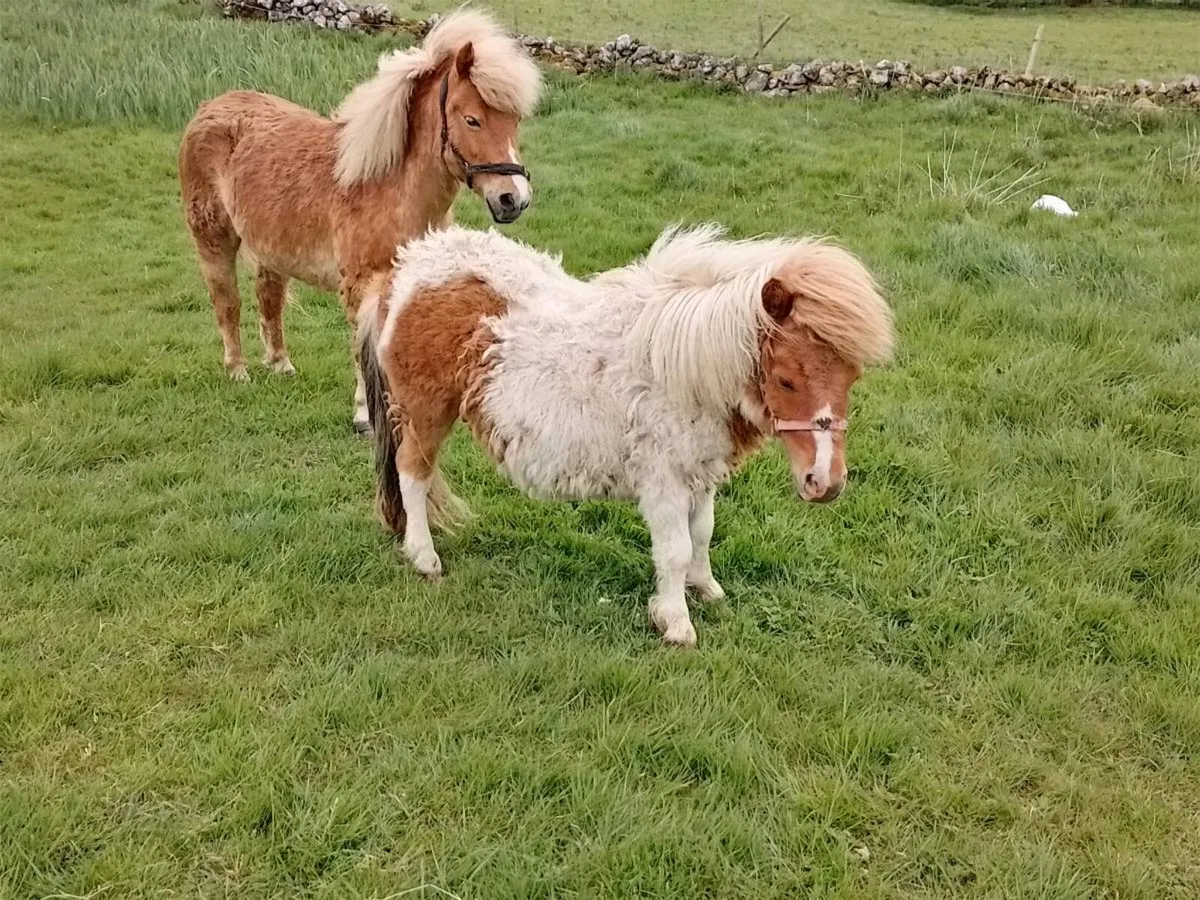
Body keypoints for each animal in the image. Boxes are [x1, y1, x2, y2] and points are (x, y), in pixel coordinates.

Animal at [178, 9, 542, 433]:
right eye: (472, 120)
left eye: (514, 121)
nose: (513, 199)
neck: (385, 188)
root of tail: (209, 108)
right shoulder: (359, 285)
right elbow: (361, 349)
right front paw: (364, 414)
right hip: (213, 236)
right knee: (227, 303)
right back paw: (238, 370)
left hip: (270, 249)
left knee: (269, 300)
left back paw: (281, 364)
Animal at [356, 224, 896, 647]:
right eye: (786, 381)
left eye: (851, 378)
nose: (825, 482)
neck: (682, 368)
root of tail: (404, 269)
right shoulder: (664, 480)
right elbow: (674, 550)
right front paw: (675, 622)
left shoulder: (699, 472)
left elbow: (702, 534)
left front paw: (707, 590)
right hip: (426, 413)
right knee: (413, 474)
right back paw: (424, 557)